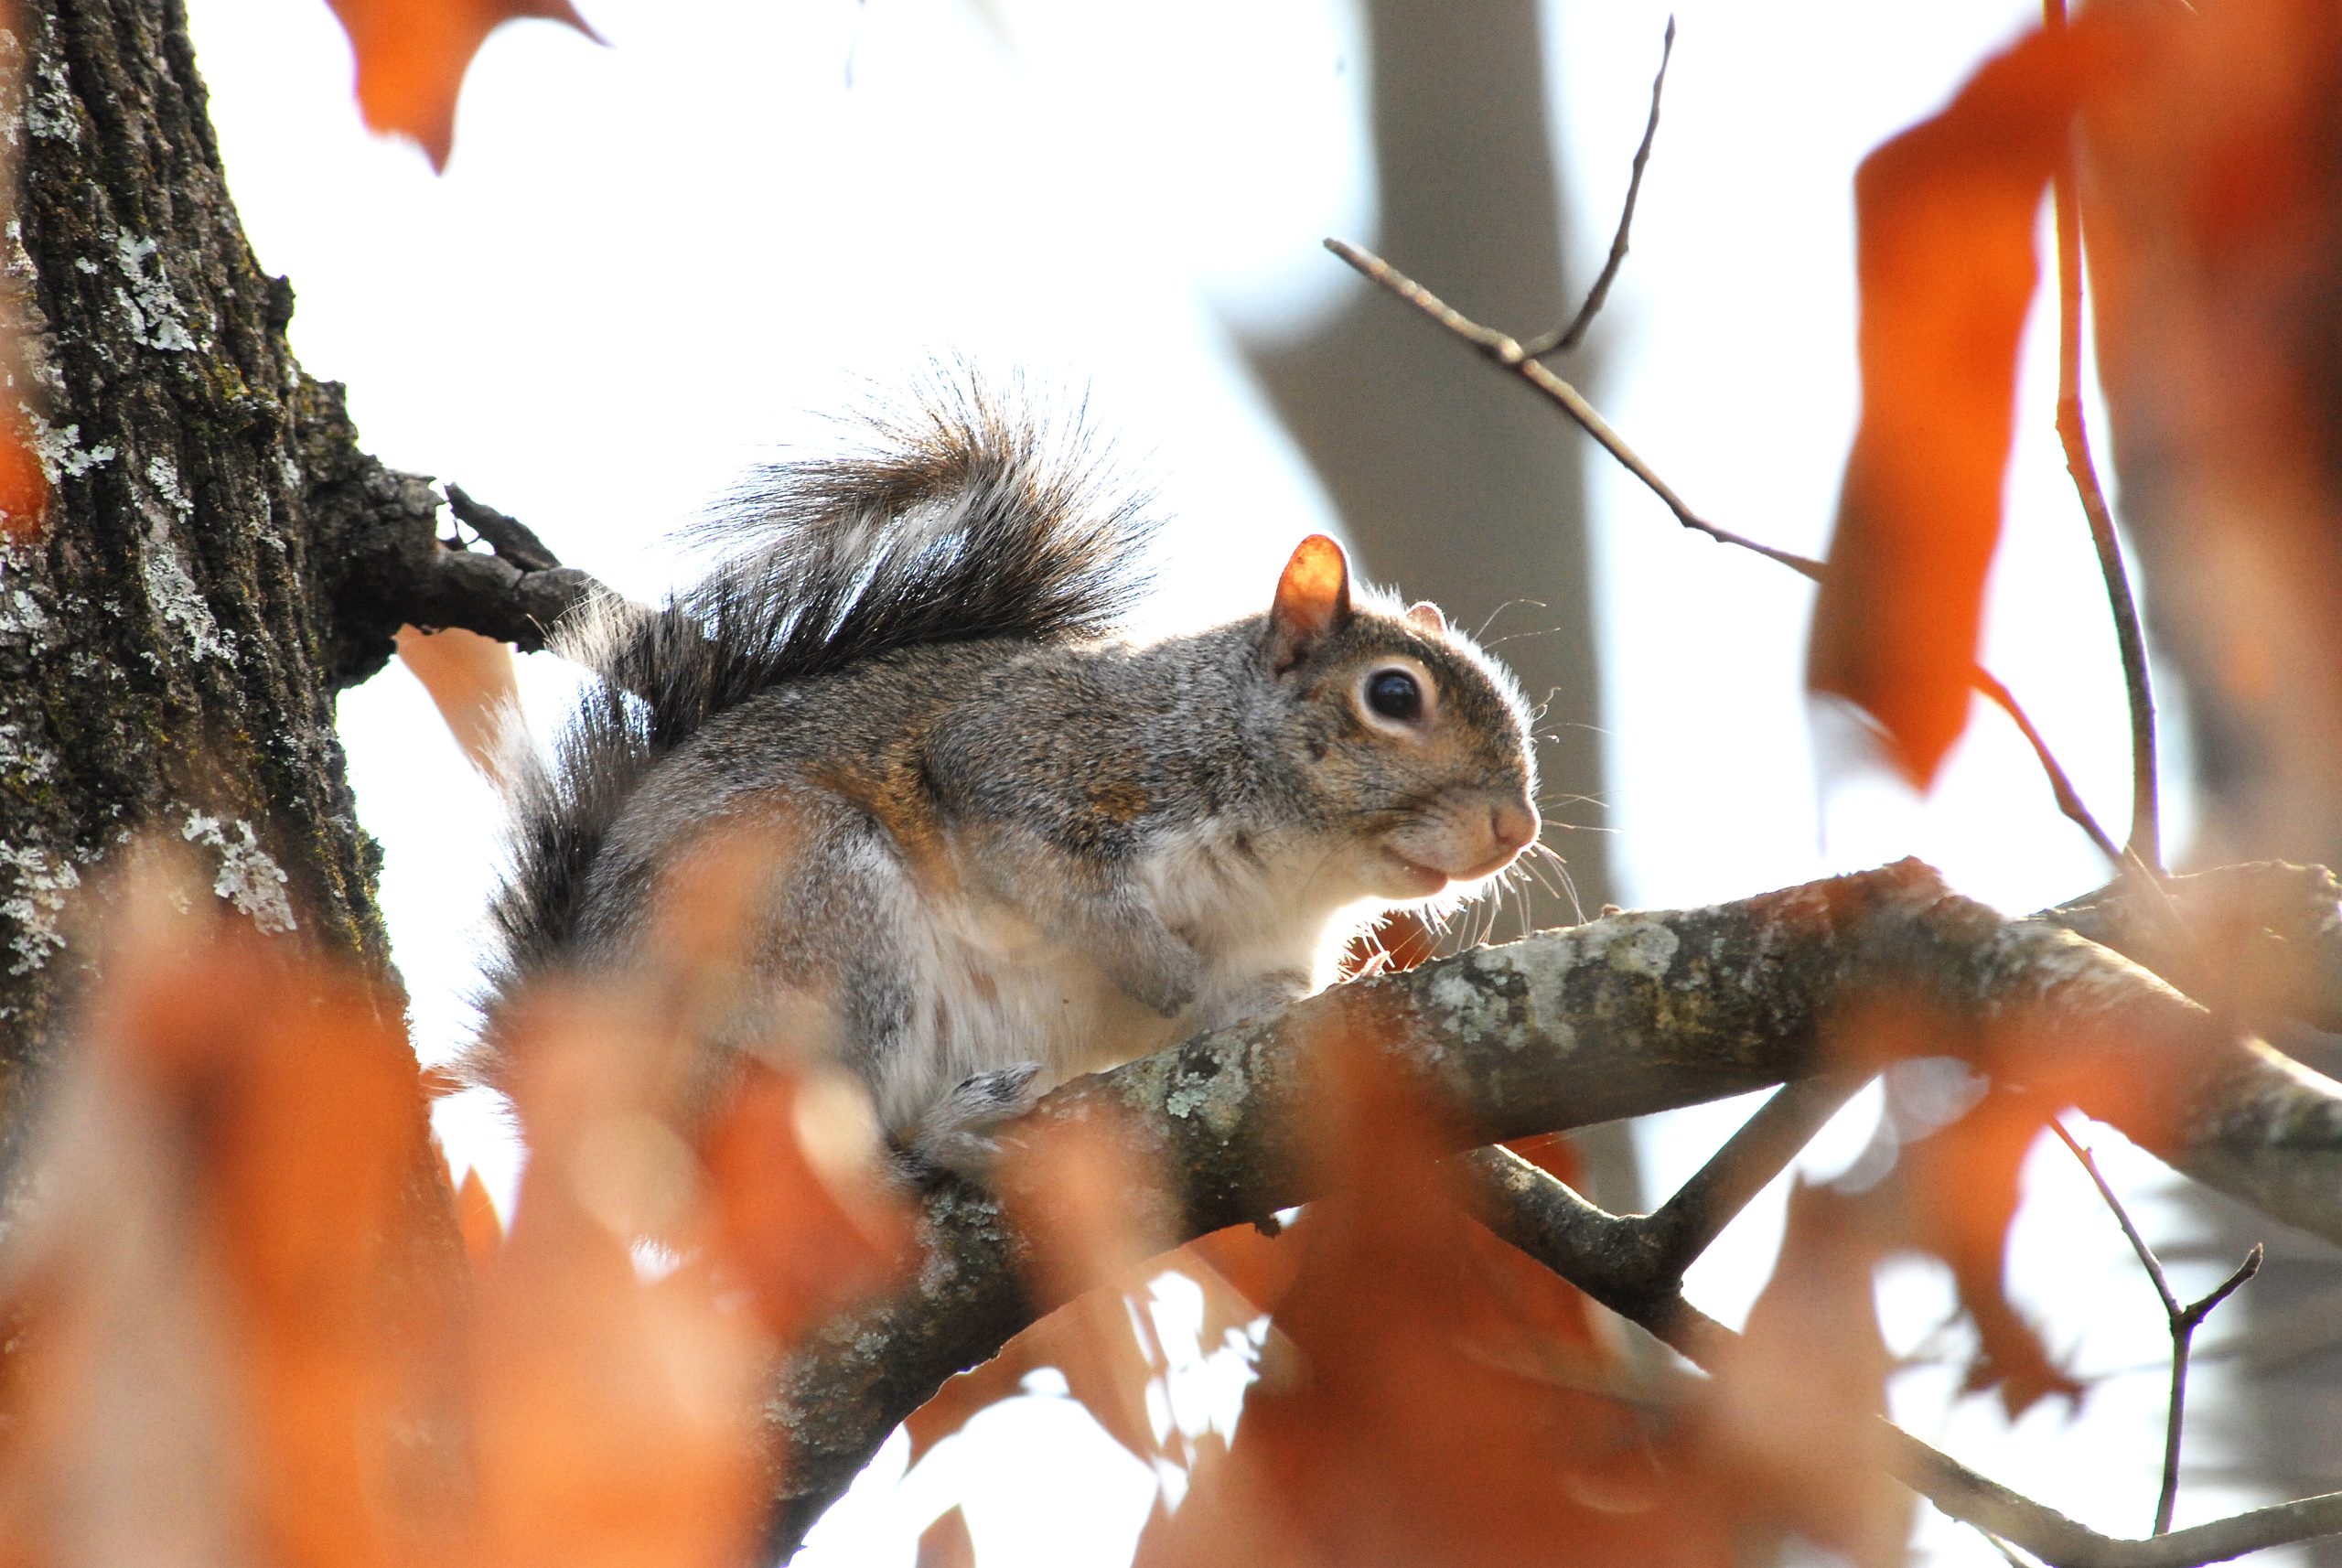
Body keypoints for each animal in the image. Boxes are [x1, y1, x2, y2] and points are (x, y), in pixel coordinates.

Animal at [469, 388, 1542, 1175]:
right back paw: (946, 1133)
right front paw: (1165, 970)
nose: (1517, 829)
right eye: (1394, 694)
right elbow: (1058, 873)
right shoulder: (1035, 758)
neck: (1291, 871)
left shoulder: (1269, 959)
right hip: (809, 920)